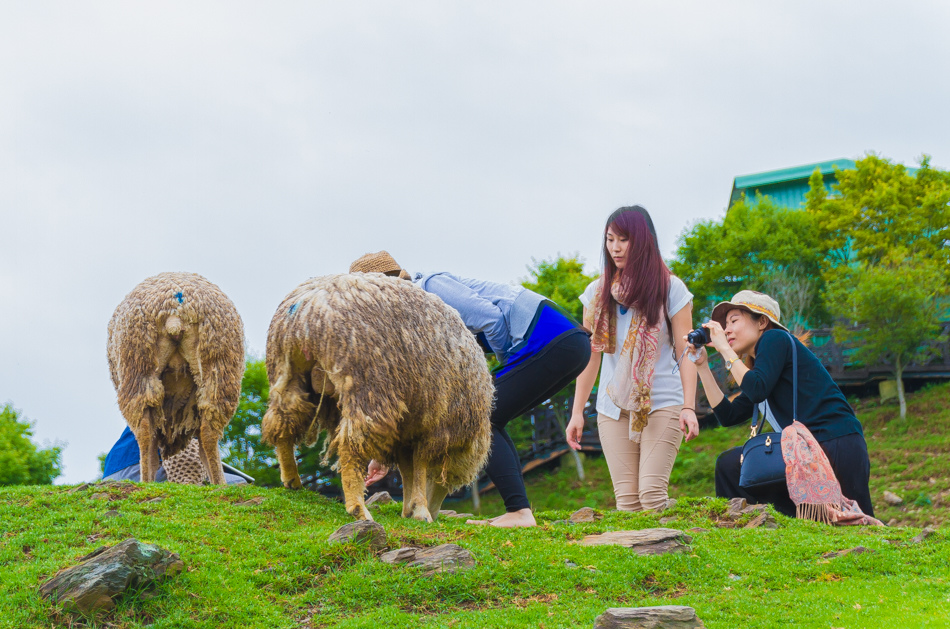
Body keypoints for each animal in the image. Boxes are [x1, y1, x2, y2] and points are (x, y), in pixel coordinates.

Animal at [107, 272, 245, 484]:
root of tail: (175, 307)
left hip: (137, 366)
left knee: (145, 431)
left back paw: (147, 482)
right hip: (218, 366)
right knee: (208, 430)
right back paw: (220, 484)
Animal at [264, 272, 494, 524]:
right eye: (448, 482)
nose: (435, 513)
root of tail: (308, 308)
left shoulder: (408, 427)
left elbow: (408, 468)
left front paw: (409, 508)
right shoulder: (432, 423)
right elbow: (419, 465)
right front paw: (420, 510)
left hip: (288, 374)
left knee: (283, 422)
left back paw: (291, 479)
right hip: (368, 385)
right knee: (350, 445)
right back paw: (358, 508)